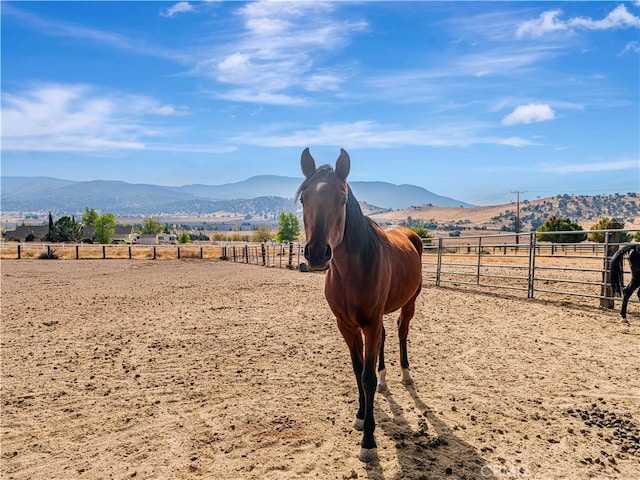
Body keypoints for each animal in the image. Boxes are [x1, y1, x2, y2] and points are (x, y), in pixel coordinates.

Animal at [296, 147, 424, 462]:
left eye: (342, 199)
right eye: (304, 199)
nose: (317, 254)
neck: (352, 271)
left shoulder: (369, 323)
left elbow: (366, 378)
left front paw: (369, 440)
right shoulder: (347, 325)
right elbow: (357, 371)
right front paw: (360, 415)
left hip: (409, 304)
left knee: (401, 332)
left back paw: (405, 375)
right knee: (386, 338)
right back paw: (385, 378)